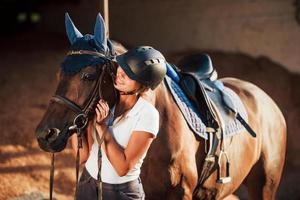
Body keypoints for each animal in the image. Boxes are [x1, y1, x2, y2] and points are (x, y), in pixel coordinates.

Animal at [35, 13, 286, 199]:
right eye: (59, 73)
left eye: (88, 75)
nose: (45, 135)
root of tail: (268, 102)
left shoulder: (181, 193)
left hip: (265, 187)